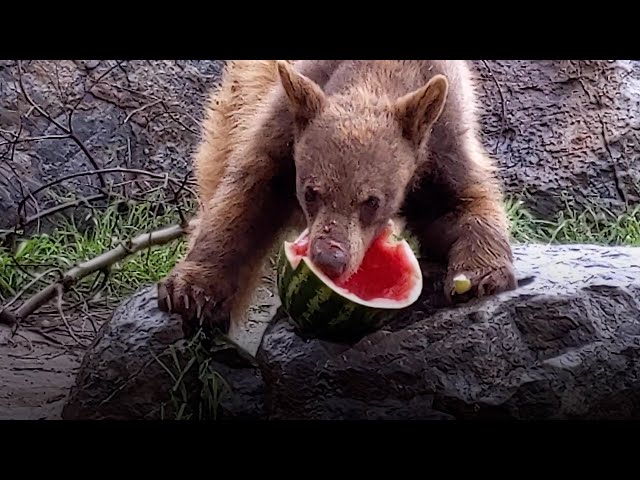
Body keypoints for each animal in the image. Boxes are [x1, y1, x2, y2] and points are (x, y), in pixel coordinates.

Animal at [158, 60, 516, 338]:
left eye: (372, 201)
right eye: (311, 192)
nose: (329, 259)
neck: (379, 71)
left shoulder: (444, 135)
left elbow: (459, 203)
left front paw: (479, 277)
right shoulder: (285, 118)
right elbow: (248, 193)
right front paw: (191, 291)